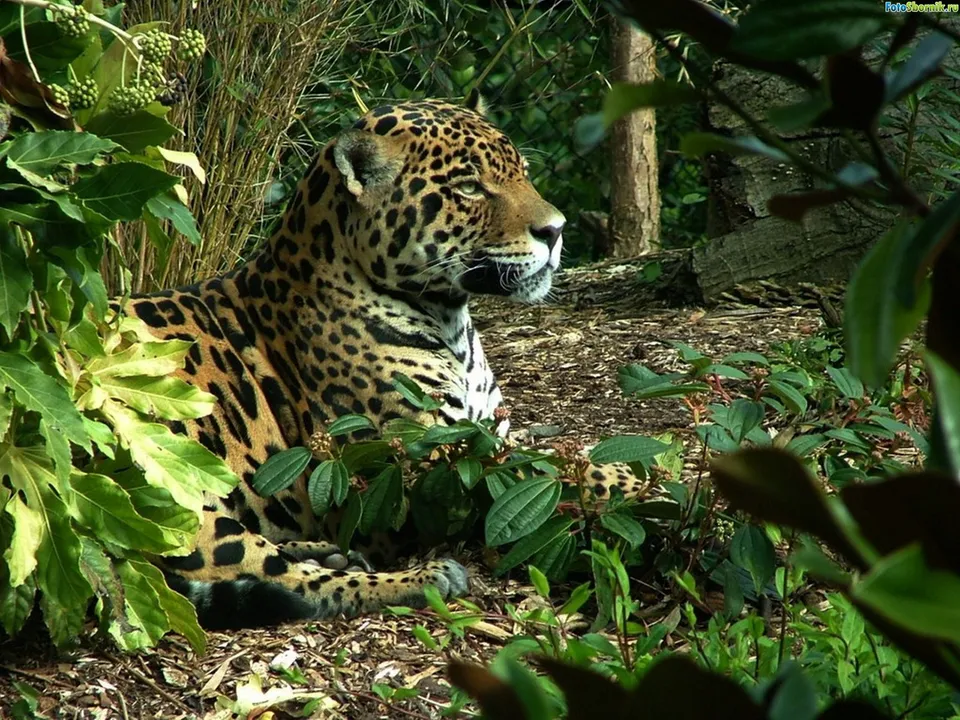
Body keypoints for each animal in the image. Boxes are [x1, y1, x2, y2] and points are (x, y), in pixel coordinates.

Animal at [126, 94, 645, 630]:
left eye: (522, 173)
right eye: (468, 187)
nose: (556, 230)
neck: (451, 321)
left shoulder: (487, 432)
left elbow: (562, 455)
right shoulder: (427, 465)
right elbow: (546, 471)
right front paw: (644, 484)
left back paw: (329, 551)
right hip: (172, 490)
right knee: (290, 583)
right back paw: (423, 577)